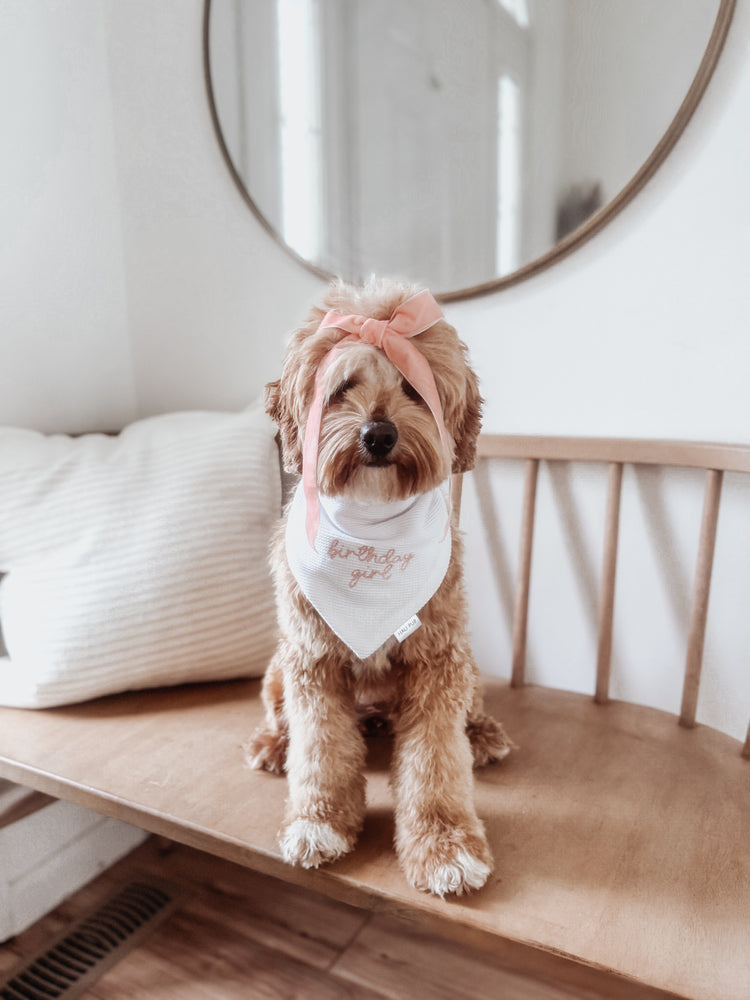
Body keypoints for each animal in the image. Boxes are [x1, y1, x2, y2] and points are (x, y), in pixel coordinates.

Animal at [250, 278, 516, 896]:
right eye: (342, 387)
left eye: (415, 388)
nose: (378, 433)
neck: (370, 522)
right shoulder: (312, 660)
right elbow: (320, 748)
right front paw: (320, 822)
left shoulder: (438, 661)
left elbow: (437, 761)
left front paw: (445, 847)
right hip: (277, 670)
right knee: (281, 718)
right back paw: (274, 745)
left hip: (467, 666)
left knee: (467, 717)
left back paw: (482, 735)